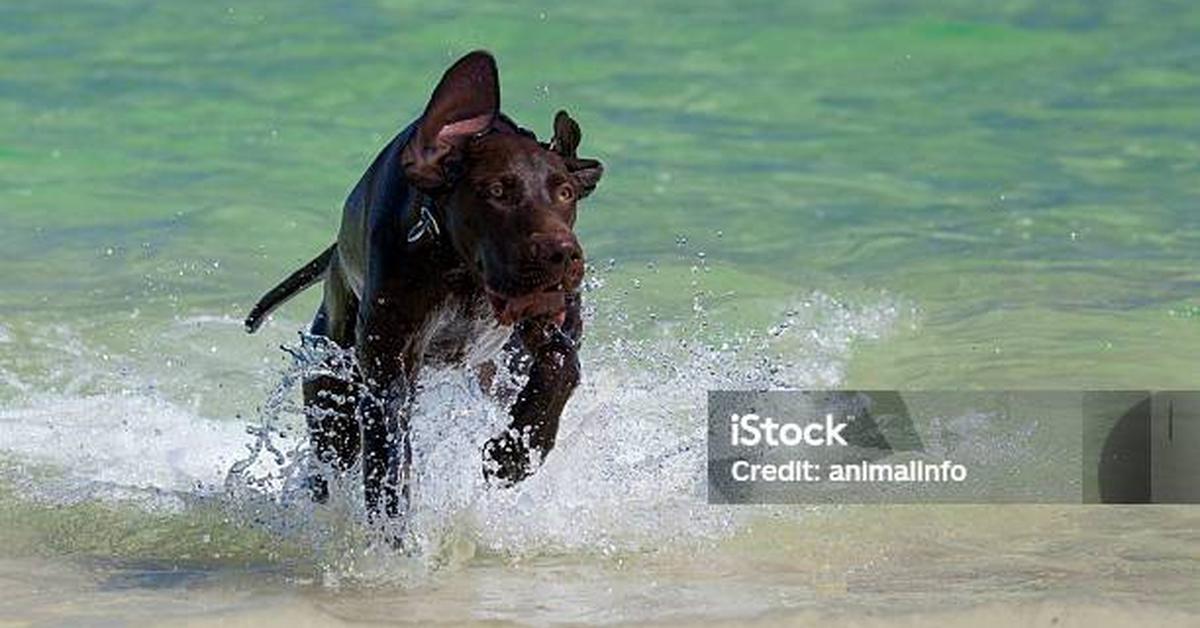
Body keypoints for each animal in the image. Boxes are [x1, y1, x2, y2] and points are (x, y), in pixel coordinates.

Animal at [243, 51, 604, 518]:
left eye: (564, 193)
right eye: (497, 191)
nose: (563, 255)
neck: (460, 270)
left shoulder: (545, 319)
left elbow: (562, 362)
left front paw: (516, 451)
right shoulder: (388, 372)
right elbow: (390, 466)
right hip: (332, 392)